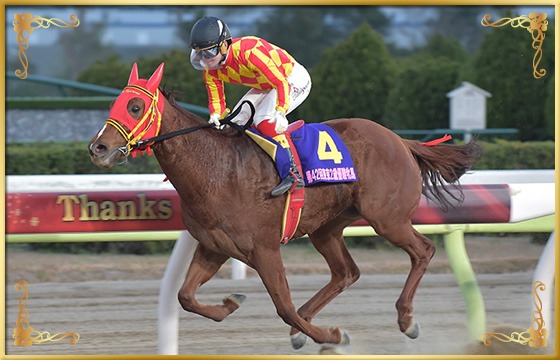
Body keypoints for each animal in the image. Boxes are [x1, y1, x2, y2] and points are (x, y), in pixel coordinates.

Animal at [88, 63, 482, 350]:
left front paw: (334, 335)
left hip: (387, 218)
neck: (217, 169)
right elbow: (185, 296)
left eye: (135, 107)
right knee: (347, 272)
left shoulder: (264, 249)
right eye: (114, 105)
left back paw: (406, 319)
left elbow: (284, 308)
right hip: (327, 227)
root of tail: (400, 140)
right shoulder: (214, 246)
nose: (98, 149)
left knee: (423, 250)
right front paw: (231, 302)